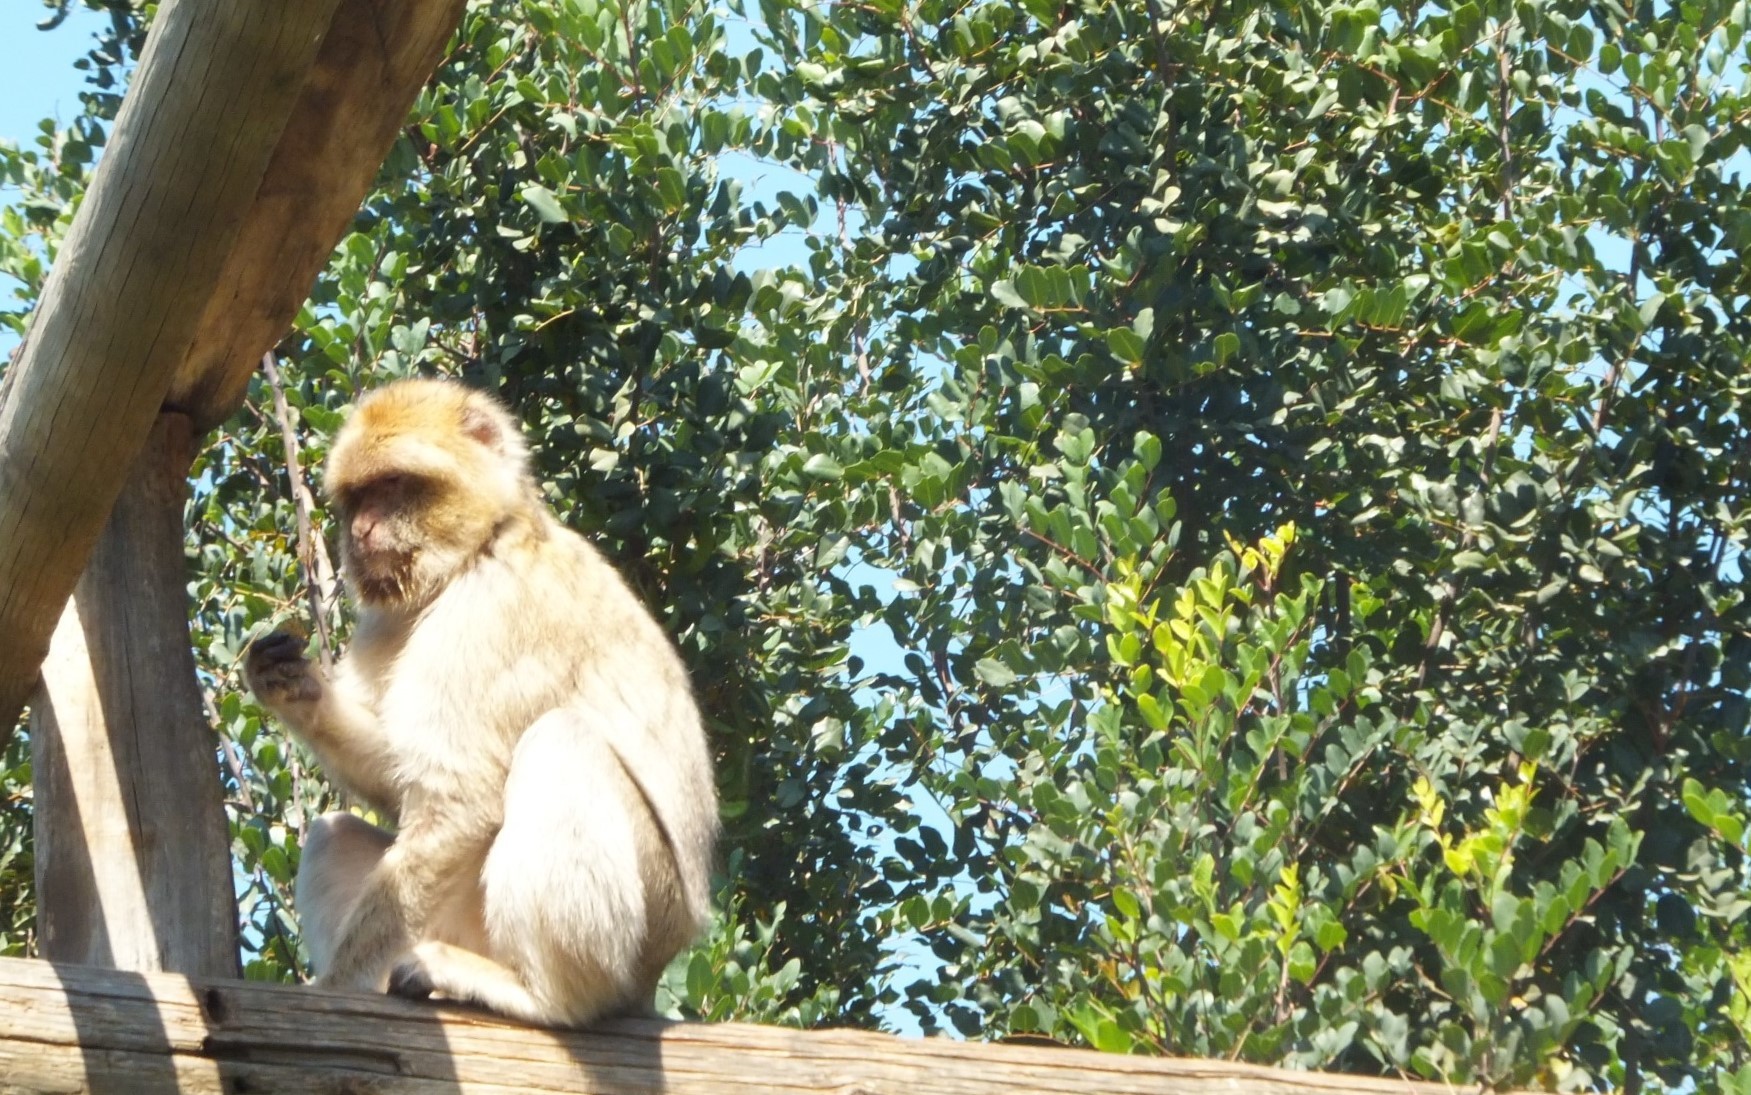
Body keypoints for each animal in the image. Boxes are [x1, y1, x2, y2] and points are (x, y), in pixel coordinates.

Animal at [243, 378, 714, 1023]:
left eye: (394, 485)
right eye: (357, 496)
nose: (361, 532)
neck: (478, 547)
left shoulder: (493, 610)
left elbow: (458, 796)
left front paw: (332, 989)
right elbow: (402, 783)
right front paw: (293, 686)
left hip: (640, 934)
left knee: (562, 743)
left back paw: (547, 997)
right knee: (333, 832)